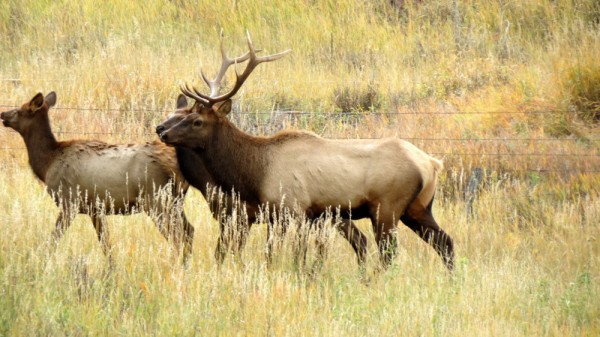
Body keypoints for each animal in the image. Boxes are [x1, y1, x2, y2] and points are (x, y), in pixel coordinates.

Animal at [1, 92, 193, 266]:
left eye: (20, 110)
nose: (3, 114)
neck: (48, 162)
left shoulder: (69, 202)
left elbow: (54, 238)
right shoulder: (95, 208)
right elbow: (106, 244)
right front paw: (111, 270)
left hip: (157, 200)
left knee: (177, 237)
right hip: (175, 201)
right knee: (189, 231)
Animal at [157, 32, 452, 270]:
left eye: (196, 121)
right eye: (183, 115)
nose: (162, 132)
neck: (255, 171)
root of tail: (432, 163)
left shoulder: (293, 209)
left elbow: (294, 255)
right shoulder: (280, 215)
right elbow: (277, 255)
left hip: (387, 208)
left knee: (390, 254)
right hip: (418, 208)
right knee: (445, 242)